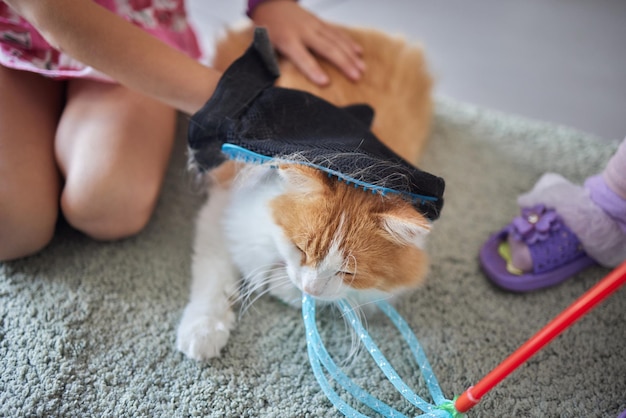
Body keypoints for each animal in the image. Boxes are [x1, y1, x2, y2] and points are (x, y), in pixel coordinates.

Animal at [176, 25, 434, 360]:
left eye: (349, 273)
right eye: (301, 249)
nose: (310, 289)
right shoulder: (221, 210)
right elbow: (214, 280)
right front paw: (202, 331)